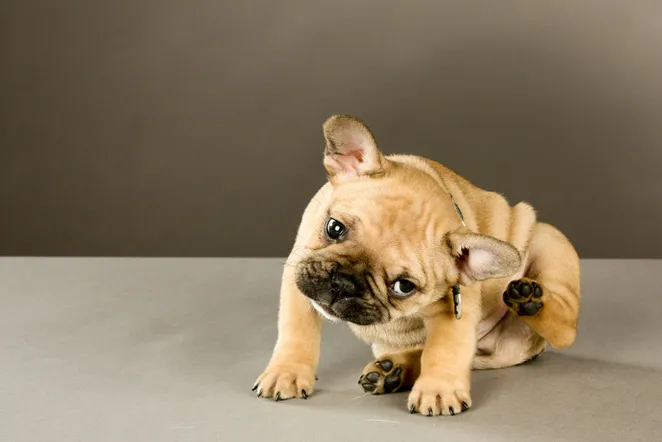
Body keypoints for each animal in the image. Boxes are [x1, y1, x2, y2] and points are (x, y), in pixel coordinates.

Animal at [253, 115, 580, 418]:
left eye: (403, 286)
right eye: (334, 228)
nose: (345, 282)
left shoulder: (455, 306)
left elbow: (443, 349)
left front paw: (439, 390)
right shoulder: (300, 269)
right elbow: (297, 330)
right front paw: (287, 372)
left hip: (550, 243)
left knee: (564, 329)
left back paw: (529, 299)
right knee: (418, 353)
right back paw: (392, 372)